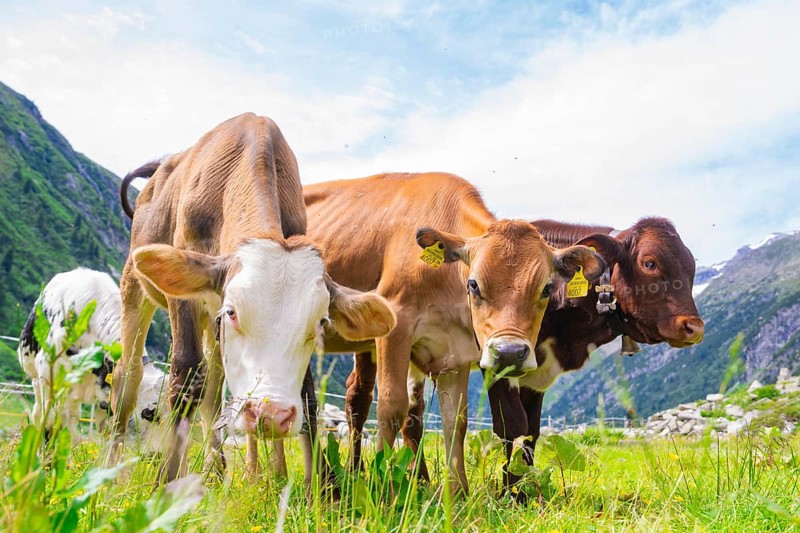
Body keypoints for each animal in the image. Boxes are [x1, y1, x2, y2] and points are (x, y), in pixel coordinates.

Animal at [18, 268, 167, 443]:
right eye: (150, 414)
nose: (160, 452)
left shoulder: (106, 400)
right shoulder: (49, 378)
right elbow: (50, 424)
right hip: (37, 380)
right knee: (41, 415)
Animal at [110, 113, 397, 484]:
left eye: (321, 323)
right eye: (233, 312)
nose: (270, 413)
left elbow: (306, 397)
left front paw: (318, 484)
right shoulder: (186, 296)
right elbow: (185, 376)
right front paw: (168, 479)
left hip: (211, 325)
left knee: (213, 390)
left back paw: (217, 469)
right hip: (134, 283)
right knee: (128, 375)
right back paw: (112, 464)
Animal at [302, 172, 606, 495]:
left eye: (547, 288)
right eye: (473, 284)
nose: (509, 353)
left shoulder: (455, 352)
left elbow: (455, 420)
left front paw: (457, 491)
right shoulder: (396, 326)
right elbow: (391, 408)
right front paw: (384, 488)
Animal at [393, 217, 705, 492]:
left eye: (691, 266)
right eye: (649, 263)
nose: (694, 327)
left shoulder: (537, 371)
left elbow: (532, 429)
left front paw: (526, 490)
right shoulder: (498, 359)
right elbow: (511, 425)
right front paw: (509, 492)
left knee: (412, 421)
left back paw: (420, 482)